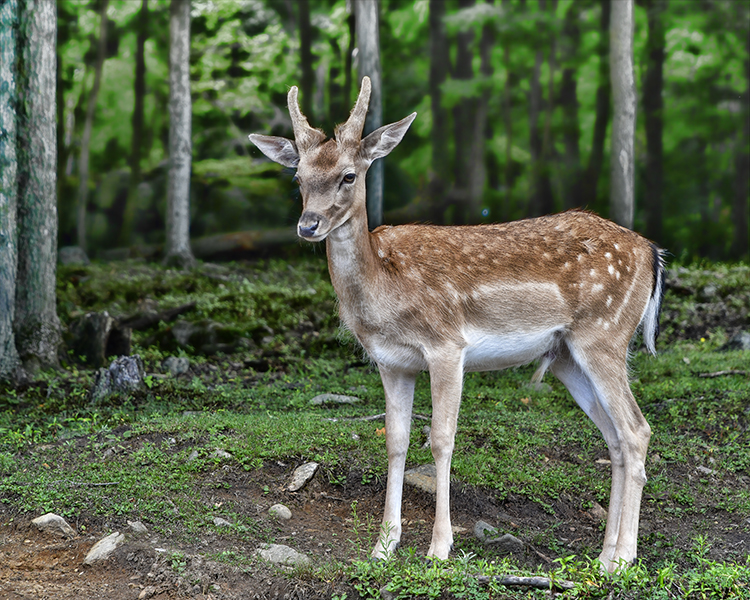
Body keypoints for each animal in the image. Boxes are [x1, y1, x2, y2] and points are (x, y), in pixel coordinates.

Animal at [250, 77, 668, 576]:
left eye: (348, 175)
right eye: (298, 177)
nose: (308, 225)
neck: (384, 292)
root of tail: (652, 252)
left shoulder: (446, 344)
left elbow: (441, 440)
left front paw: (439, 547)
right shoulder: (392, 362)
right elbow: (395, 441)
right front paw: (383, 546)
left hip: (605, 334)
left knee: (637, 430)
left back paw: (624, 558)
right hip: (567, 356)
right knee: (615, 438)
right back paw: (604, 556)